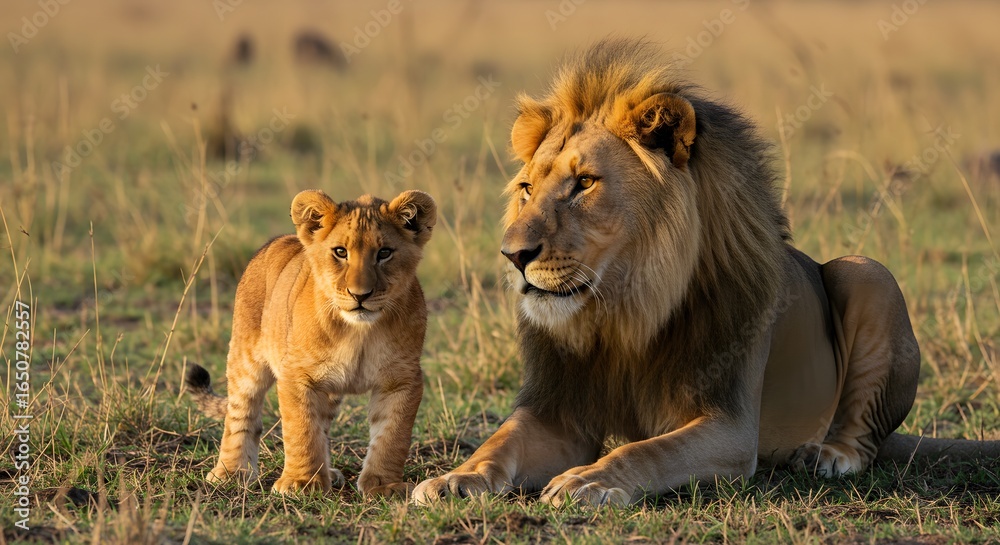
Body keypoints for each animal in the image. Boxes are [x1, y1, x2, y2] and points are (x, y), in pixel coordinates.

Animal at [185, 189, 436, 496]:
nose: (360, 294)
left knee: (323, 426)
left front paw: (384, 485)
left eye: (384, 253)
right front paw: (301, 483)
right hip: (246, 359)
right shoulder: (297, 374)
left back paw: (330, 473)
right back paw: (230, 473)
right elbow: (302, 430)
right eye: (340, 252)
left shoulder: (402, 379)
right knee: (241, 414)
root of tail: (278, 240)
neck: (360, 332)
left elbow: (392, 436)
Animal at [413, 39, 1000, 507]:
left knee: (867, 434)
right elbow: (499, 442)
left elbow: (645, 450)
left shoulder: (730, 426)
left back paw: (827, 454)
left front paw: (589, 481)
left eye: (585, 183)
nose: (512, 254)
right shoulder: (558, 414)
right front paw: (454, 479)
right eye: (527, 188)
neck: (623, 311)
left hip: (868, 273)